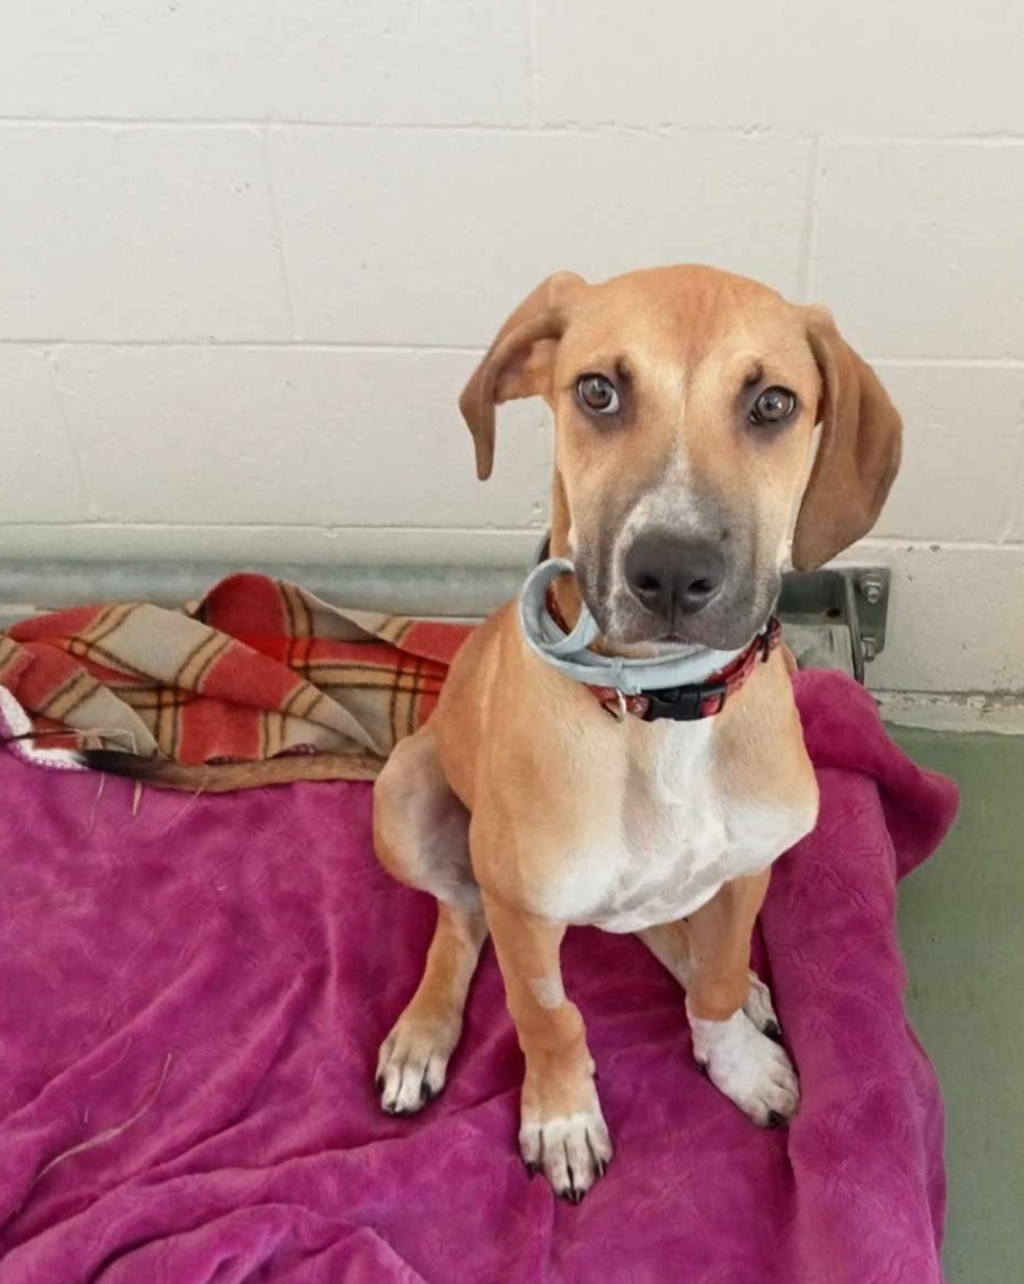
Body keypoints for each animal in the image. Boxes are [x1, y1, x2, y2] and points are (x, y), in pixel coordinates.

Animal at [371, 265, 902, 1202]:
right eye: (597, 391)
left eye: (772, 403)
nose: (674, 573)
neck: (663, 708)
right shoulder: (526, 912)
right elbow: (548, 1018)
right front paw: (562, 1119)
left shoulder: (749, 867)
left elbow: (717, 980)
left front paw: (736, 1057)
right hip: (403, 798)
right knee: (459, 913)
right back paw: (422, 1034)